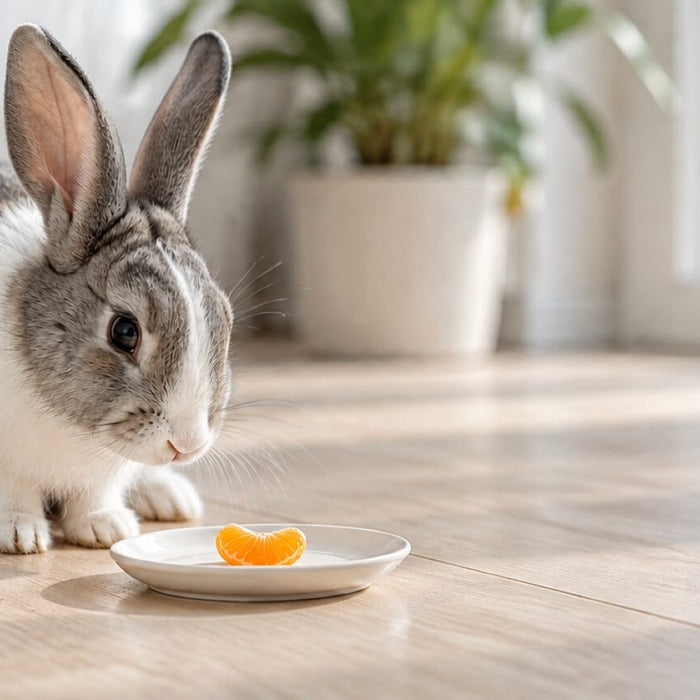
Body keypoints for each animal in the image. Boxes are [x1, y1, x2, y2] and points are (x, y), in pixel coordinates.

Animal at [0, 24, 234, 553]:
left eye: (225, 319)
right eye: (124, 332)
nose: (187, 444)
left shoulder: (101, 474)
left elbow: (93, 495)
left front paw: (104, 528)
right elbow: (14, 493)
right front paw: (20, 534)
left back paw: (170, 497)